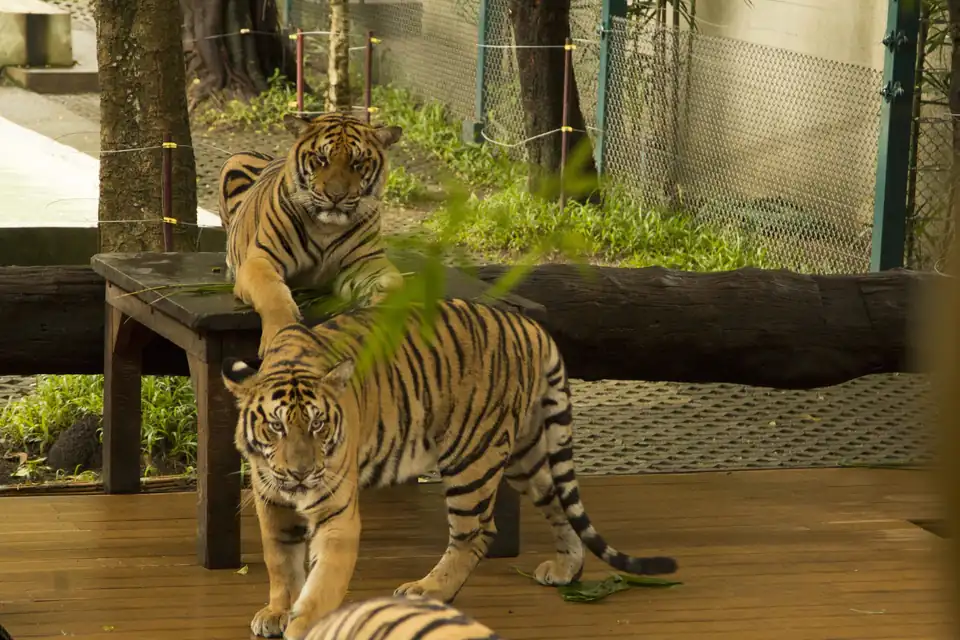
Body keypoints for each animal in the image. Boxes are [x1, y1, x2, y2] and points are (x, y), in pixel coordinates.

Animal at [216, 112, 405, 357]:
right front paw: (280, 337)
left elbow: (396, 286)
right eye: (321, 159)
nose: (336, 195)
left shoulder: (368, 263)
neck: (327, 227)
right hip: (233, 162)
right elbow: (272, 292)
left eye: (357, 163)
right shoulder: (260, 259)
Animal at [221, 298, 679, 640]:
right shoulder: (271, 502)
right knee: (557, 500)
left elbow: (324, 580)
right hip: (525, 454)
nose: (300, 473)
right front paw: (278, 611)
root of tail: (530, 326)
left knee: (476, 533)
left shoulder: (337, 513)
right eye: (276, 426)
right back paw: (566, 568)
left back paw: (429, 589)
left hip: (473, 457)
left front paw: (305, 623)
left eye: (318, 425)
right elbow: (281, 564)